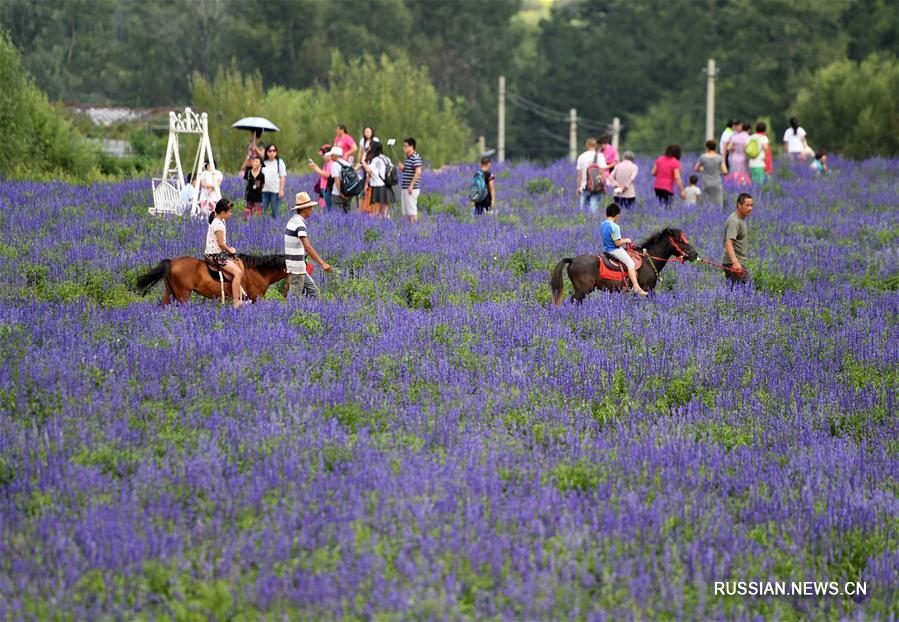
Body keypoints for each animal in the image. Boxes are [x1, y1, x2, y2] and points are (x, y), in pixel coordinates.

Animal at [552, 229, 700, 308]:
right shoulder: (648, 289)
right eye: (681, 241)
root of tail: (572, 260)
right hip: (582, 290)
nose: (695, 254)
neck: (648, 260)